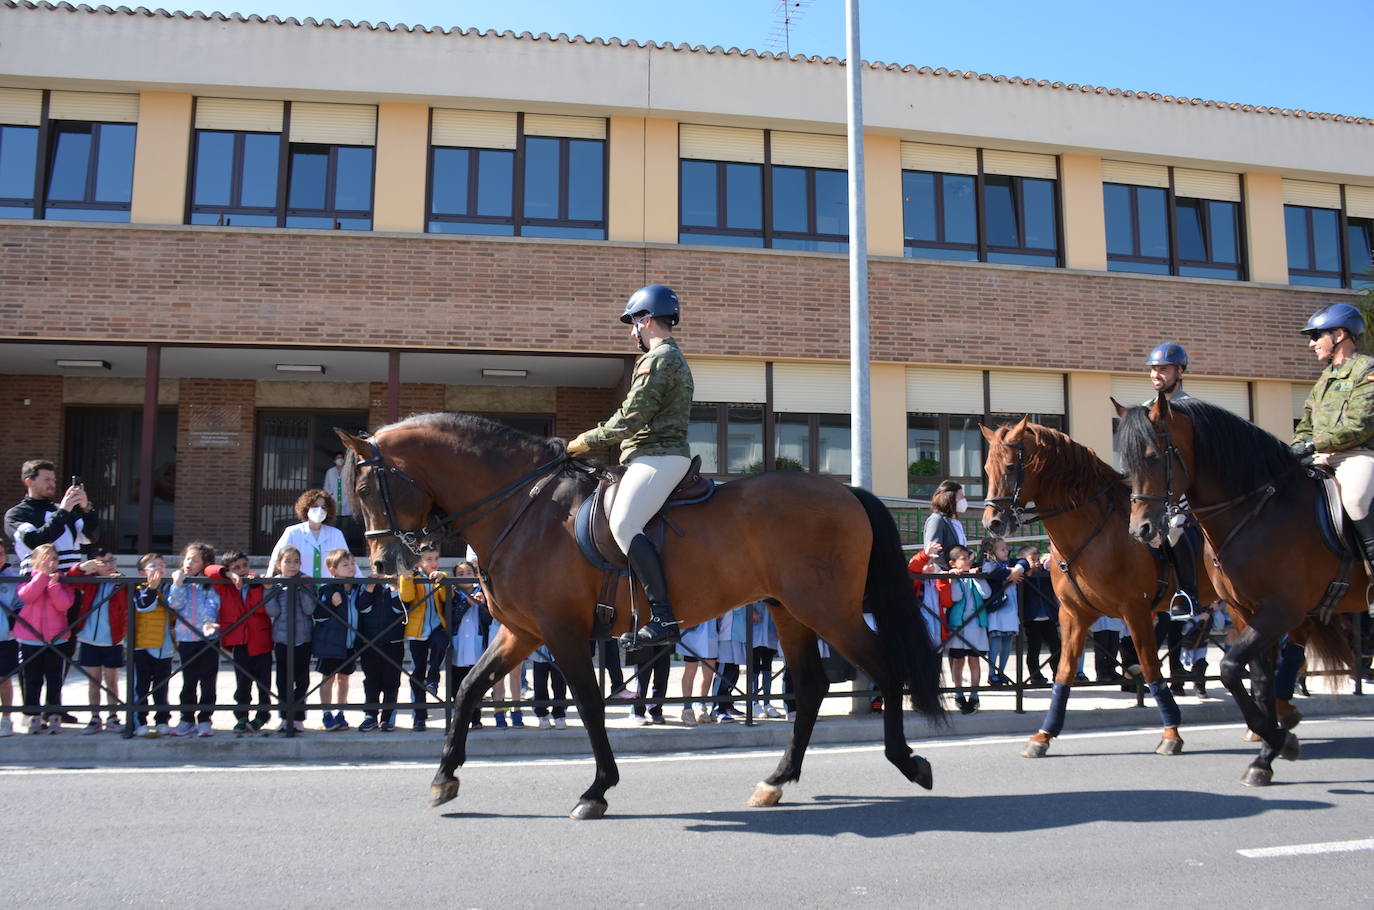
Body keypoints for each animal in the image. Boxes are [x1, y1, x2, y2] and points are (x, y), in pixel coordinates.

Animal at [338, 412, 950, 819]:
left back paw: (908, 761)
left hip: (827, 609)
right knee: (813, 685)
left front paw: (597, 789)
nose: (383, 563)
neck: (524, 507)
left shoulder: (561, 631)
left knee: (883, 667)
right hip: (790, 611)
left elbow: (588, 704)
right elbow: (467, 691)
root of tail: (847, 492)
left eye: (366, 486)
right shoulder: (522, 632)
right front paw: (444, 778)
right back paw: (776, 780)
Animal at [978, 417, 1225, 758]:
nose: (993, 523)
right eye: (987, 468)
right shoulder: (1074, 614)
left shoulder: (1135, 610)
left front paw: (1171, 732)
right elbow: (1064, 671)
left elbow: (1151, 666)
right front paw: (1043, 735)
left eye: (1013, 466)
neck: (1095, 533)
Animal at [1115, 395, 1363, 786]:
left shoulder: (1280, 610)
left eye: (1153, 456)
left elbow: (1231, 668)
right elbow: (1258, 679)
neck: (1255, 511)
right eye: (1126, 462)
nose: (1140, 529)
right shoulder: (1246, 611)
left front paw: (1279, 740)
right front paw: (1267, 754)